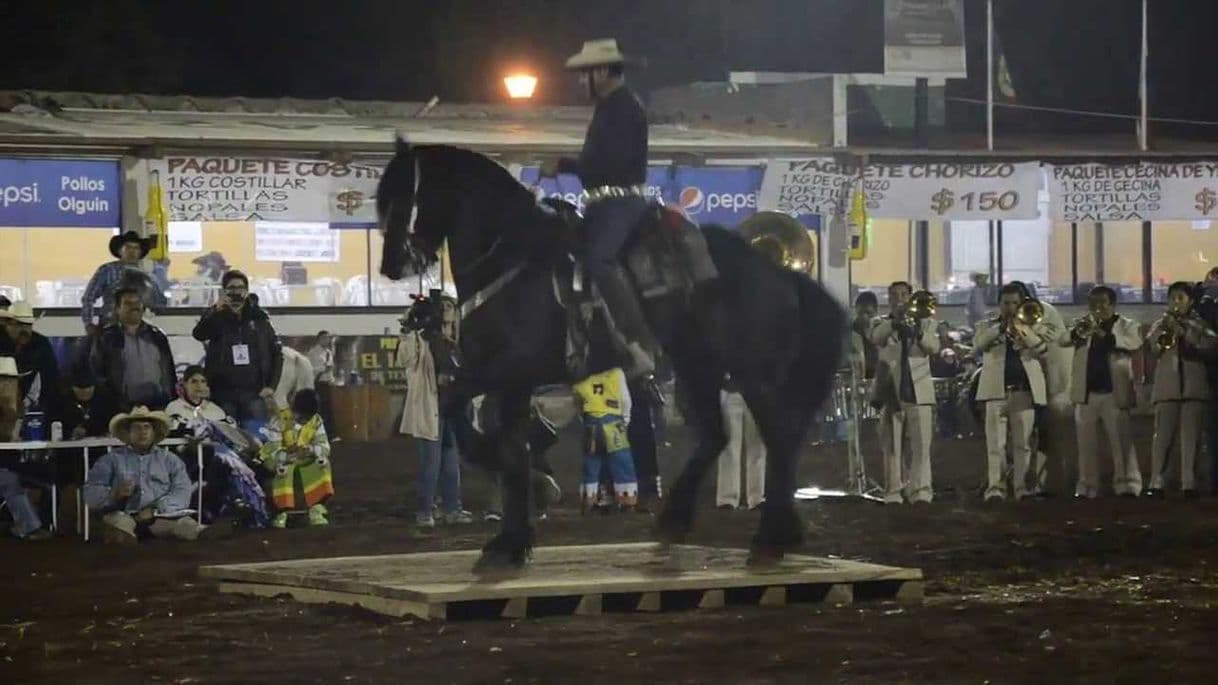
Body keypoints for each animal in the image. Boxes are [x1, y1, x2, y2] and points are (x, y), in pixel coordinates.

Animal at [375, 138, 842, 565]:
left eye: (404, 197)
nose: (391, 265)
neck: (512, 260)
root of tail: (776, 272)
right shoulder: (507, 381)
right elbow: (494, 436)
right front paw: (512, 538)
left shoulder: (508, 370)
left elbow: (476, 425)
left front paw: (532, 497)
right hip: (700, 368)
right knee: (718, 435)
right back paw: (677, 521)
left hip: (750, 372)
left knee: (778, 436)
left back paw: (771, 536)